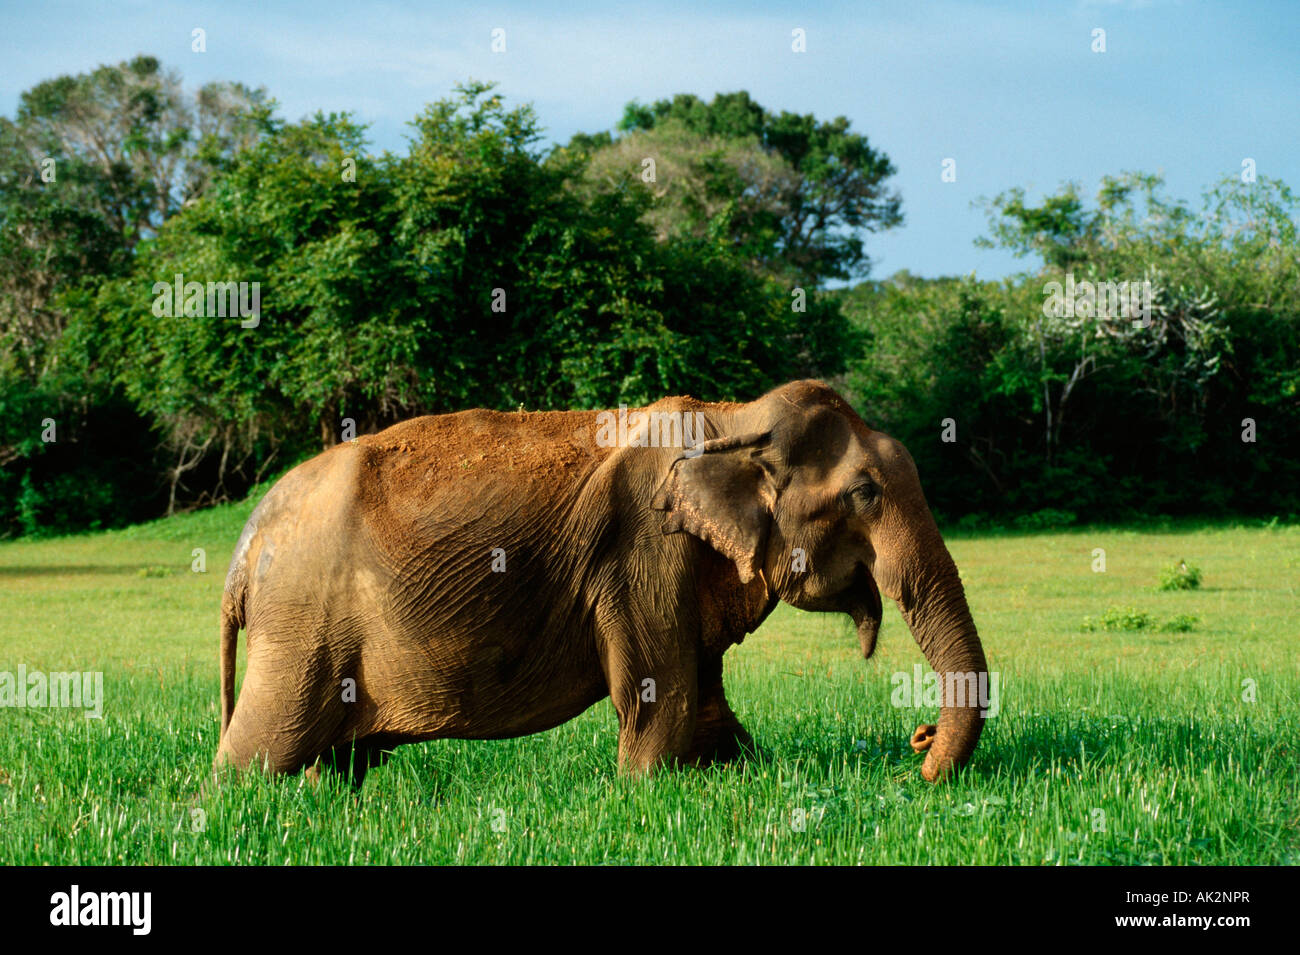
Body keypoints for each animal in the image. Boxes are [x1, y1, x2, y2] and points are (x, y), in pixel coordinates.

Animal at [215, 379, 982, 784]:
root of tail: (243, 551)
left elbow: (703, 696)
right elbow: (661, 696)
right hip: (303, 619)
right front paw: (647, 789)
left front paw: (732, 774)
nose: (915, 751)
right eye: (865, 494)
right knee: (260, 750)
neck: (731, 416)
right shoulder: (643, 549)